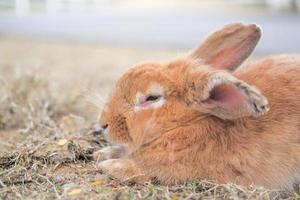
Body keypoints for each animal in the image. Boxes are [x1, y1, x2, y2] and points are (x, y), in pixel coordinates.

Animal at [95, 22, 300, 190]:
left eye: (151, 98)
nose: (103, 124)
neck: (187, 124)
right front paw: (102, 153)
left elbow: (144, 169)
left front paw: (109, 165)